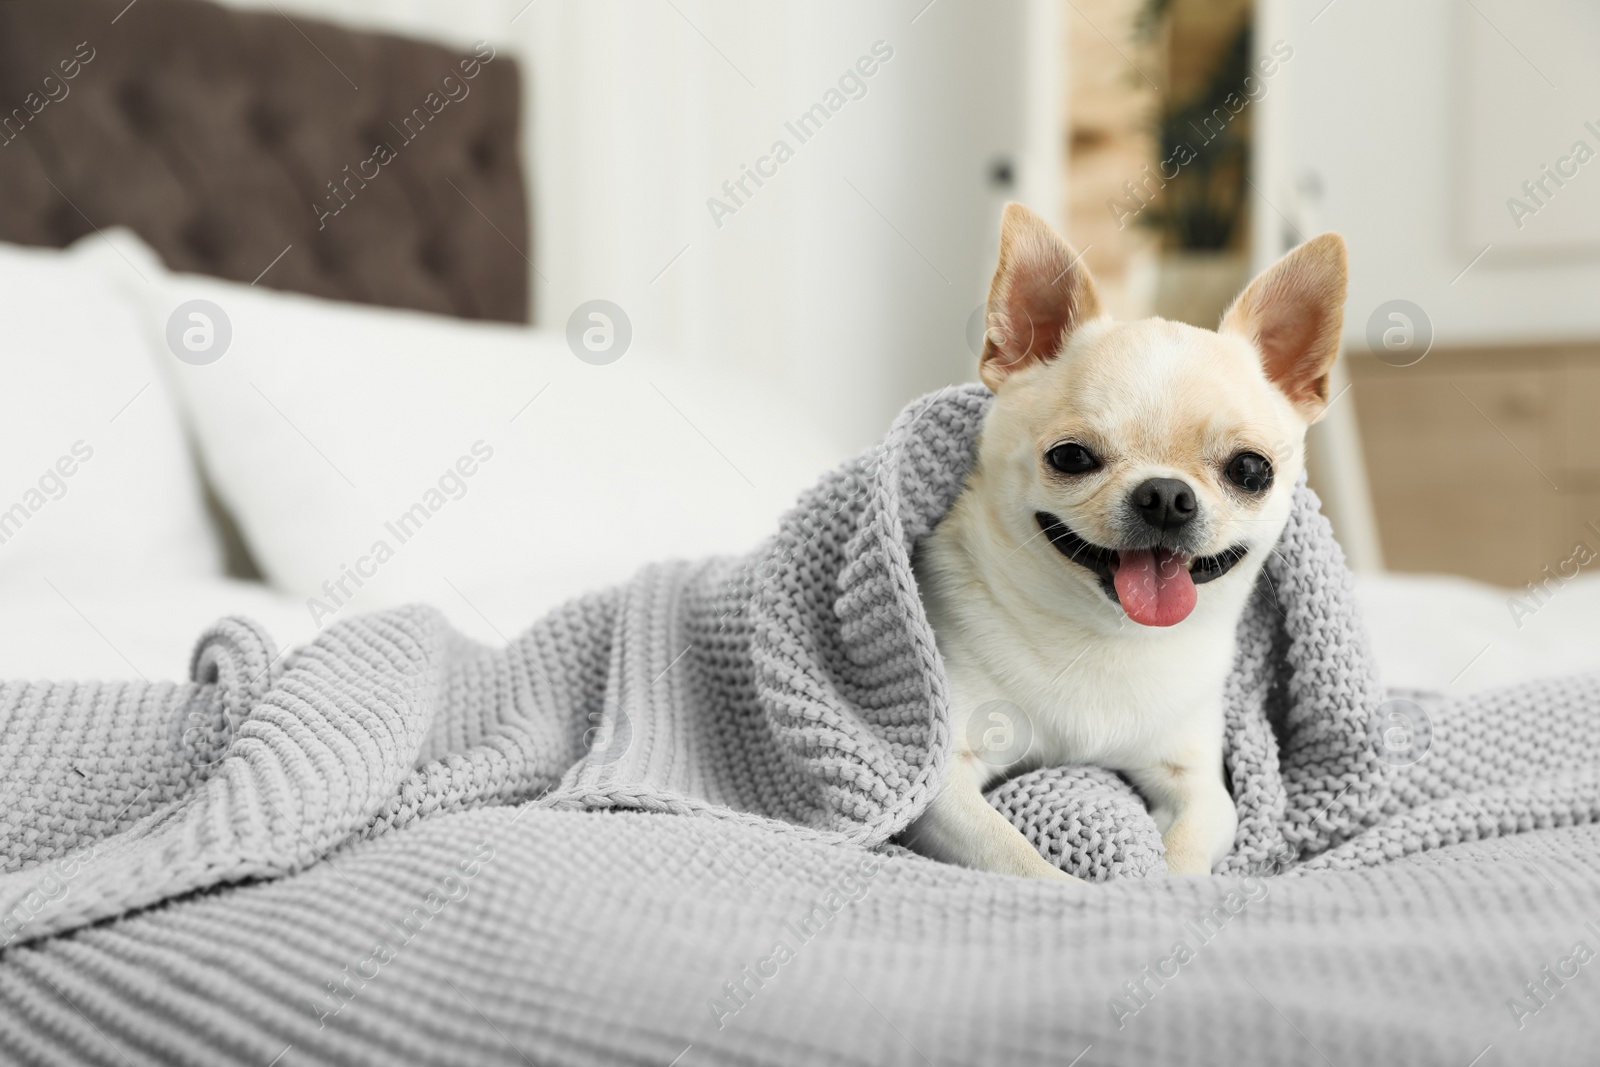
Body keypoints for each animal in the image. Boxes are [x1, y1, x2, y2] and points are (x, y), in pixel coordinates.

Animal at [908, 204, 1344, 883]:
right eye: (1071, 457)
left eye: (1251, 471)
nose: (1165, 495)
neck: (1106, 636)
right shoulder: (936, 780)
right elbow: (1014, 855)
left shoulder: (1199, 786)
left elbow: (1188, 849)